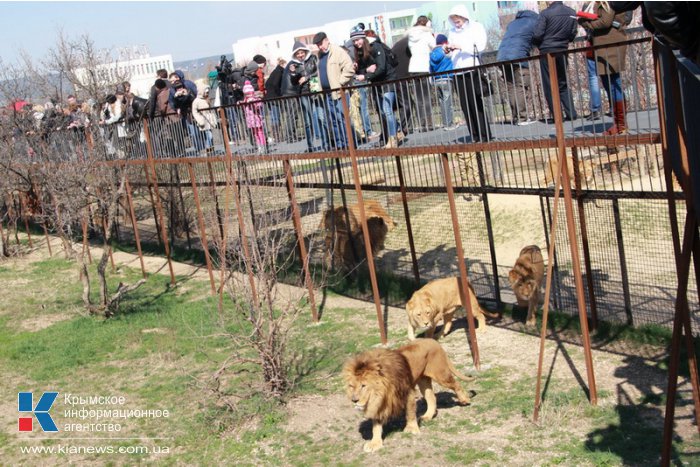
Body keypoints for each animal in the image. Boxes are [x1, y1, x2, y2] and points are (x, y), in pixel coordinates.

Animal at [344, 340, 474, 454]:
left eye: (363, 386)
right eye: (351, 386)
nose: (354, 400)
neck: (383, 392)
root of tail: (434, 341)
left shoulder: (408, 393)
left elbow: (410, 412)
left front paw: (411, 429)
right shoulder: (379, 404)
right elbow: (376, 426)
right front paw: (375, 443)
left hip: (441, 375)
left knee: (456, 384)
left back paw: (465, 400)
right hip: (423, 381)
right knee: (432, 397)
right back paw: (427, 416)